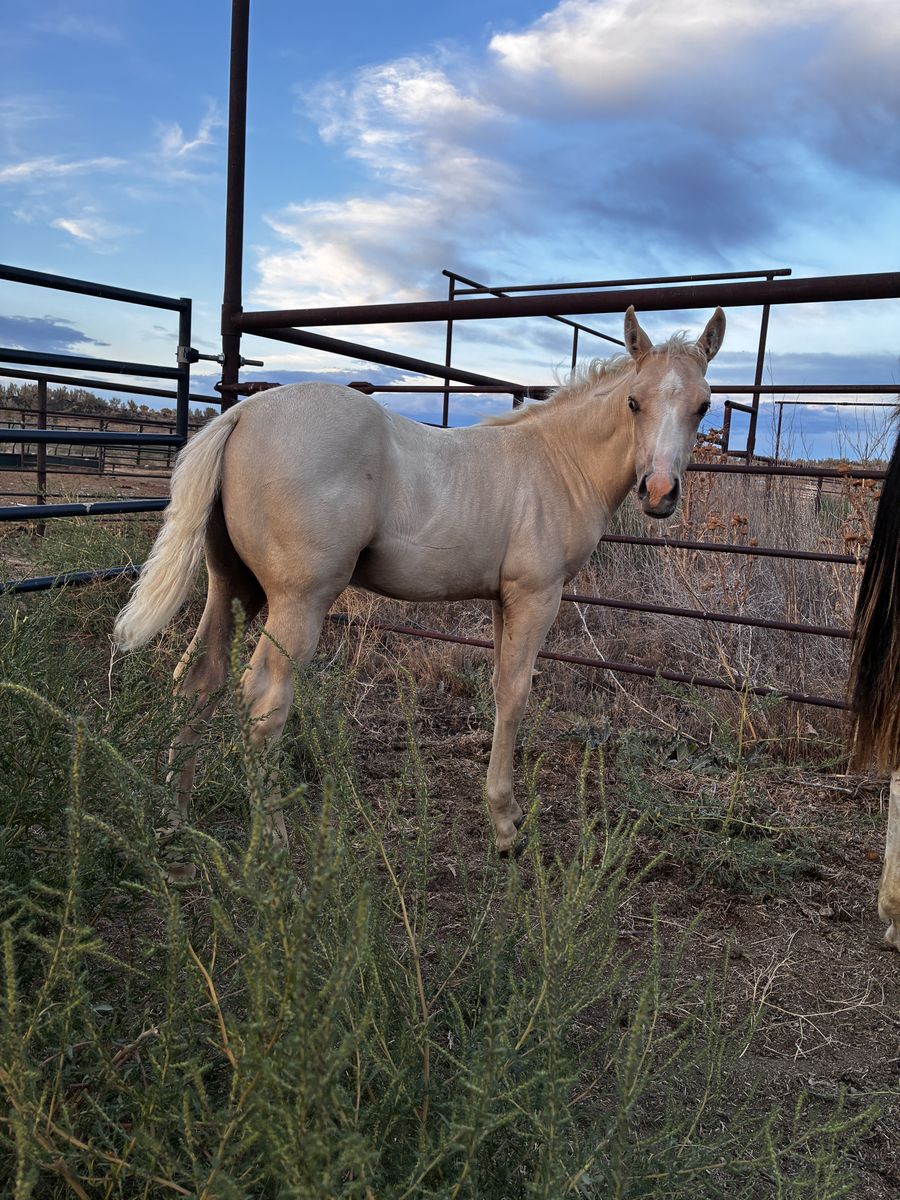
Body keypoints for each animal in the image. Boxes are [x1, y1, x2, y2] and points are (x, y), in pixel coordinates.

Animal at [114, 306, 725, 873]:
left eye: (702, 405)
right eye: (634, 402)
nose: (660, 492)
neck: (556, 461)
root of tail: (242, 412)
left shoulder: (504, 599)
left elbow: (499, 687)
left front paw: (507, 813)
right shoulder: (537, 596)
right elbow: (517, 693)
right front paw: (506, 827)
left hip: (234, 586)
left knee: (198, 679)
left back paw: (175, 824)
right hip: (297, 600)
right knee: (264, 701)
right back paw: (273, 849)